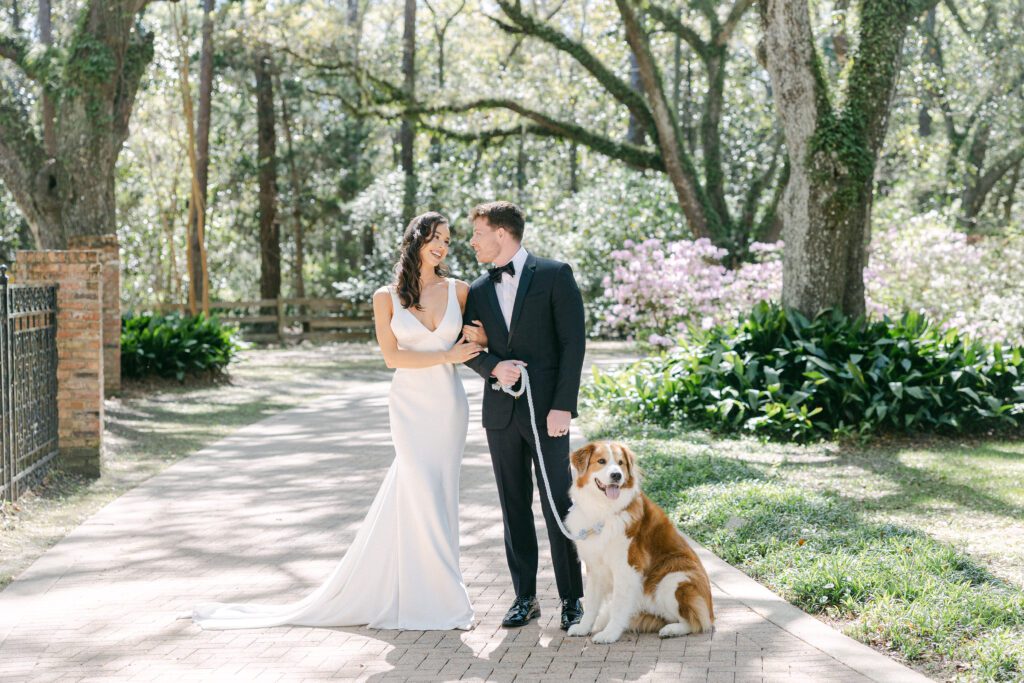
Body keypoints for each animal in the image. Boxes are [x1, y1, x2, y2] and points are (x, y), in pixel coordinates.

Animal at [565, 440, 716, 643]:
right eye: (601, 461)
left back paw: (671, 630)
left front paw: (609, 634)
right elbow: (591, 602)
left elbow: (618, 605)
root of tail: (711, 611)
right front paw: (583, 627)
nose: (616, 475)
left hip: (672, 579)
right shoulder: (595, 567)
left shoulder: (627, 568)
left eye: (620, 463)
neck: (604, 509)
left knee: (695, 621)